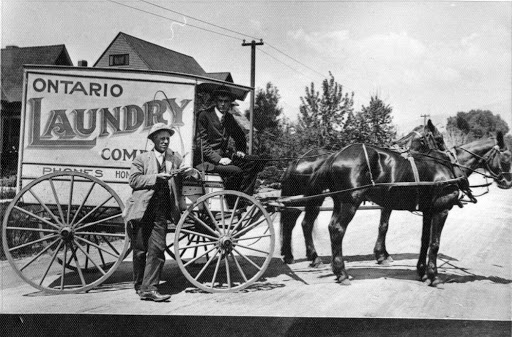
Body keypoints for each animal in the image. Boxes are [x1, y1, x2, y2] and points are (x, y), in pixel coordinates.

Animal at [278, 119, 446, 266]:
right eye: (439, 139)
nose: (446, 155)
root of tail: (296, 161)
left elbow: (383, 225)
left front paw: (381, 254)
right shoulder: (387, 202)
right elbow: (384, 226)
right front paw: (382, 255)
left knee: (291, 223)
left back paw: (290, 255)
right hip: (313, 200)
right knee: (304, 224)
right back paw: (313, 258)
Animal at [304, 130, 512, 284]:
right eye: (507, 157)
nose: (508, 183)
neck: (449, 167)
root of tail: (335, 155)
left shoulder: (428, 210)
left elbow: (424, 241)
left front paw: (423, 272)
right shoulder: (441, 210)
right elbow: (435, 243)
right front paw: (434, 276)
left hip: (339, 202)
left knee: (331, 227)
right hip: (350, 202)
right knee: (337, 230)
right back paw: (342, 273)